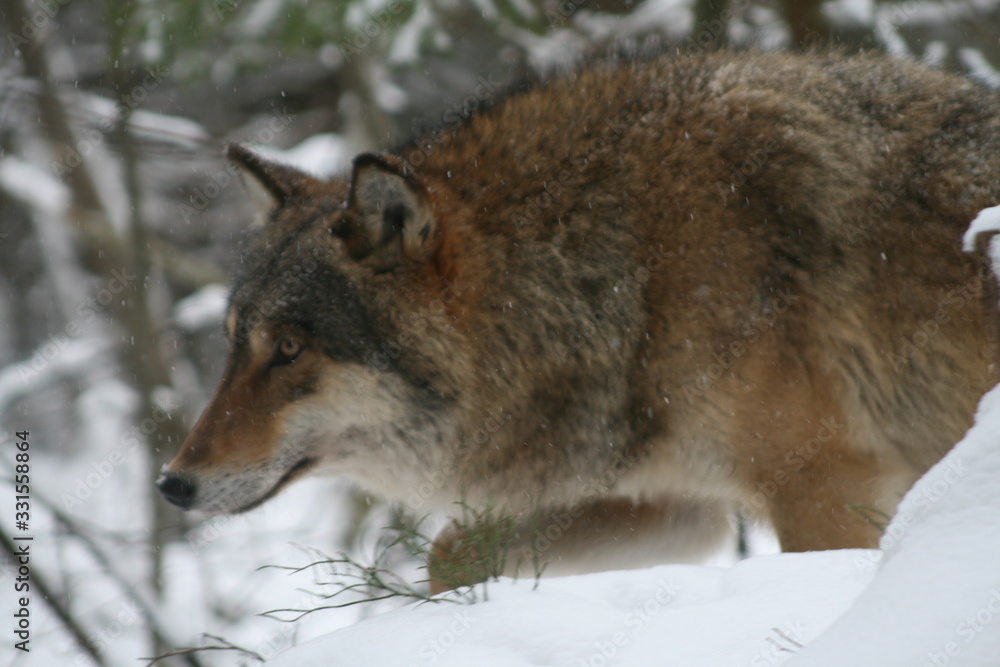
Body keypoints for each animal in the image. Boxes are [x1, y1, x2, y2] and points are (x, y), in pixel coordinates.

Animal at [158, 49, 1000, 588]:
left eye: (289, 348)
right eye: (234, 346)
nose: (172, 484)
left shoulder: (822, 486)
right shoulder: (675, 502)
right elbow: (448, 554)